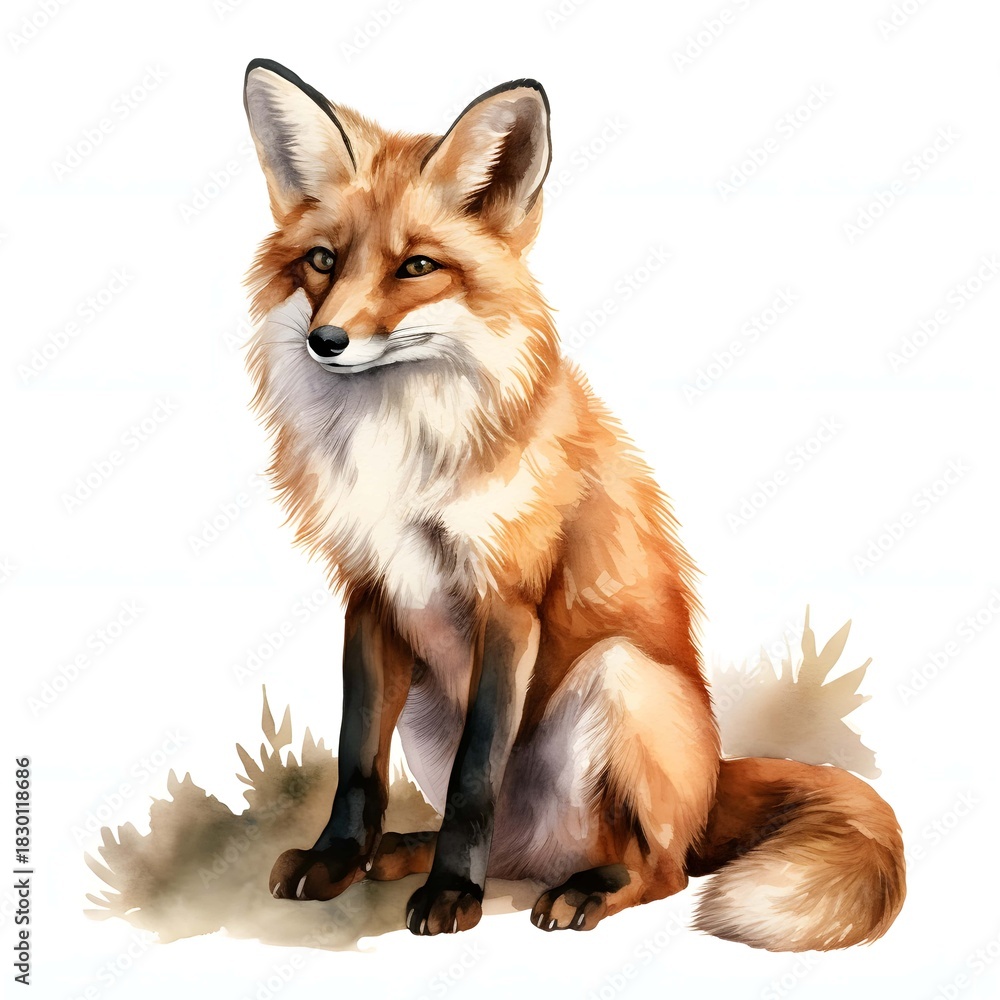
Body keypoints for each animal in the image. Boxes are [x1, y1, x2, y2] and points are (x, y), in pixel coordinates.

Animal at [241, 58, 905, 949]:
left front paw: (452, 894)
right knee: (514, 846)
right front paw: (337, 860)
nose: (327, 341)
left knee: (662, 869)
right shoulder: (370, 592)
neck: (401, 450)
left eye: (416, 267)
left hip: (619, 677)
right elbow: (356, 759)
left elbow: (476, 779)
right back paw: (402, 852)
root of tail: (714, 777)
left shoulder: (508, 599)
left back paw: (581, 889)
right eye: (321, 259)